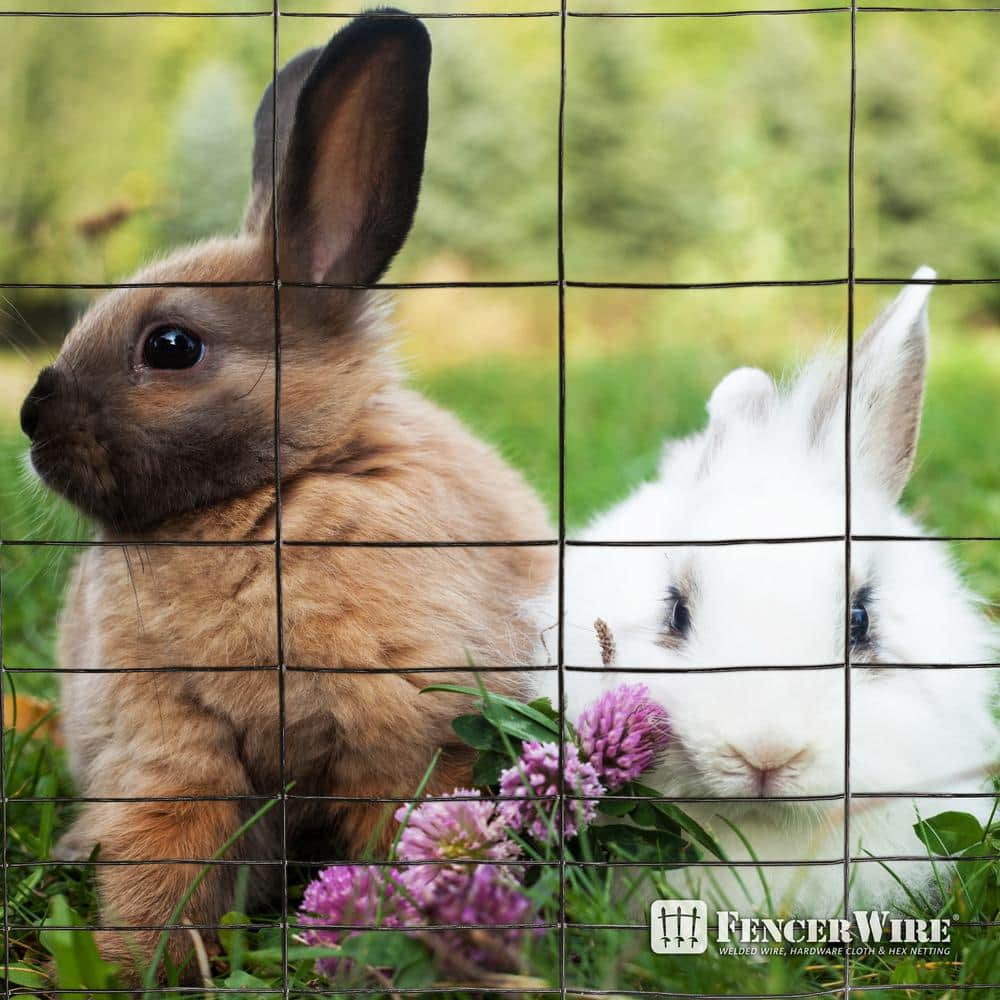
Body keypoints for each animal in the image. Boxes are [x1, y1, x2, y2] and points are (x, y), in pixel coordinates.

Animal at [19, 12, 553, 979]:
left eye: (172, 345)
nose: (31, 419)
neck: (263, 498)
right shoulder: (170, 747)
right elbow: (169, 852)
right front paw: (141, 964)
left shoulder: (405, 741)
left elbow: (399, 837)